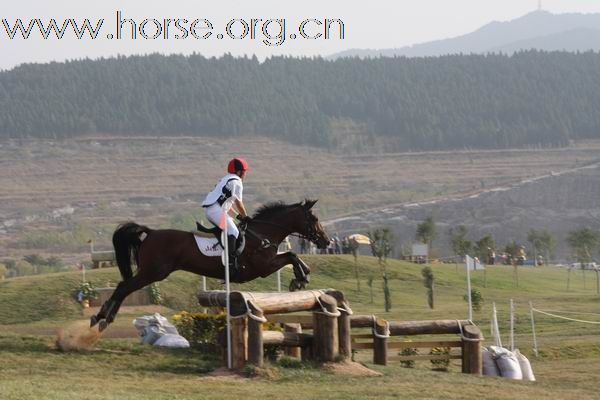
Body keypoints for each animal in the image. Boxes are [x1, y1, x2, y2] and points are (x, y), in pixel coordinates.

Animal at [90, 198, 328, 330]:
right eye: (315, 219)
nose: (326, 241)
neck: (263, 232)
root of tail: (150, 232)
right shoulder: (263, 267)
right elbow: (291, 255)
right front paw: (300, 279)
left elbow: (292, 256)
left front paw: (302, 277)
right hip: (153, 272)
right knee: (124, 287)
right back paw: (102, 317)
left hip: (151, 272)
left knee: (124, 286)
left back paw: (103, 317)